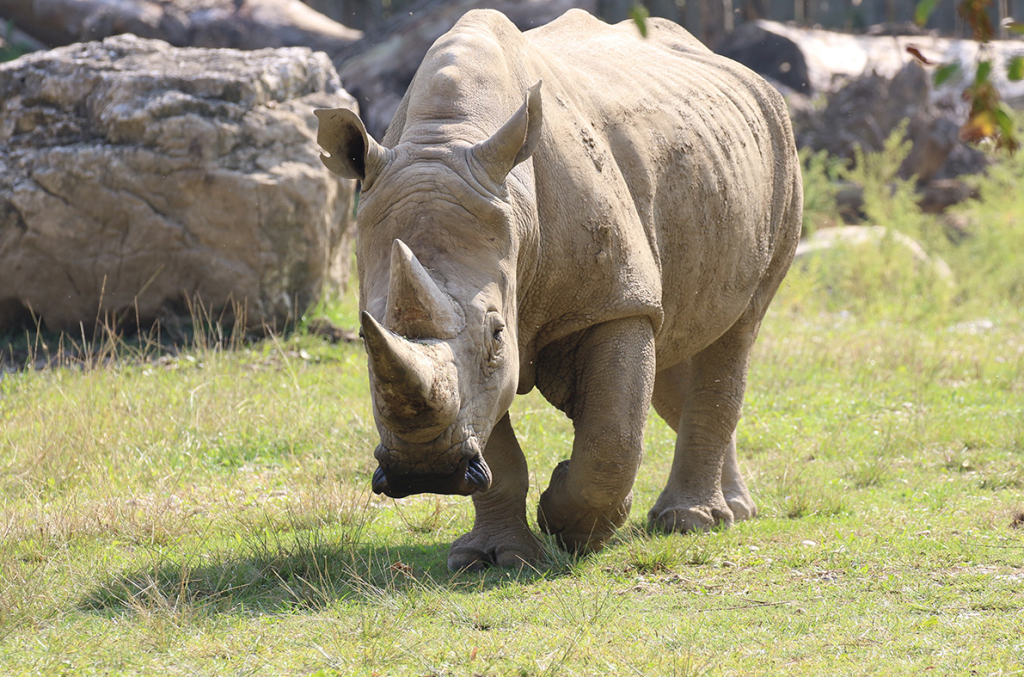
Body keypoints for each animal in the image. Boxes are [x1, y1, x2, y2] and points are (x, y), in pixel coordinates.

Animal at [315, 9, 802, 569]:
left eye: (496, 335)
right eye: (362, 335)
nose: (425, 473)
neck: (447, 139)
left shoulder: (616, 302)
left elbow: (613, 436)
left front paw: (571, 525)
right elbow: (496, 442)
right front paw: (494, 557)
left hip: (781, 151)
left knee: (736, 334)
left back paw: (694, 523)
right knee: (681, 347)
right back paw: (733, 510)